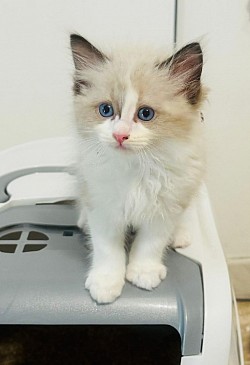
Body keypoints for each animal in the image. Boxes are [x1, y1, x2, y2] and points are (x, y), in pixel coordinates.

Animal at [70, 34, 205, 302]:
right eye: (106, 110)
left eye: (145, 114)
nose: (120, 135)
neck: (135, 169)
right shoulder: (102, 205)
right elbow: (107, 248)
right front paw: (106, 283)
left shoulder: (165, 207)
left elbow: (150, 244)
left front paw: (143, 273)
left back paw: (179, 235)